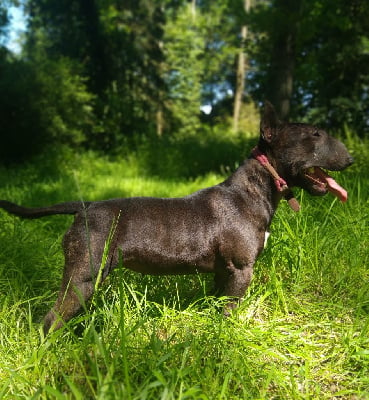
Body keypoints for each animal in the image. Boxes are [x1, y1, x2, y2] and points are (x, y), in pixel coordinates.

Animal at [0, 101, 350, 332]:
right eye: (315, 135)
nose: (351, 157)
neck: (254, 190)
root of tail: (83, 207)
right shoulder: (241, 270)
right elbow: (230, 310)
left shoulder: (224, 272)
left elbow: (216, 303)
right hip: (83, 277)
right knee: (50, 319)